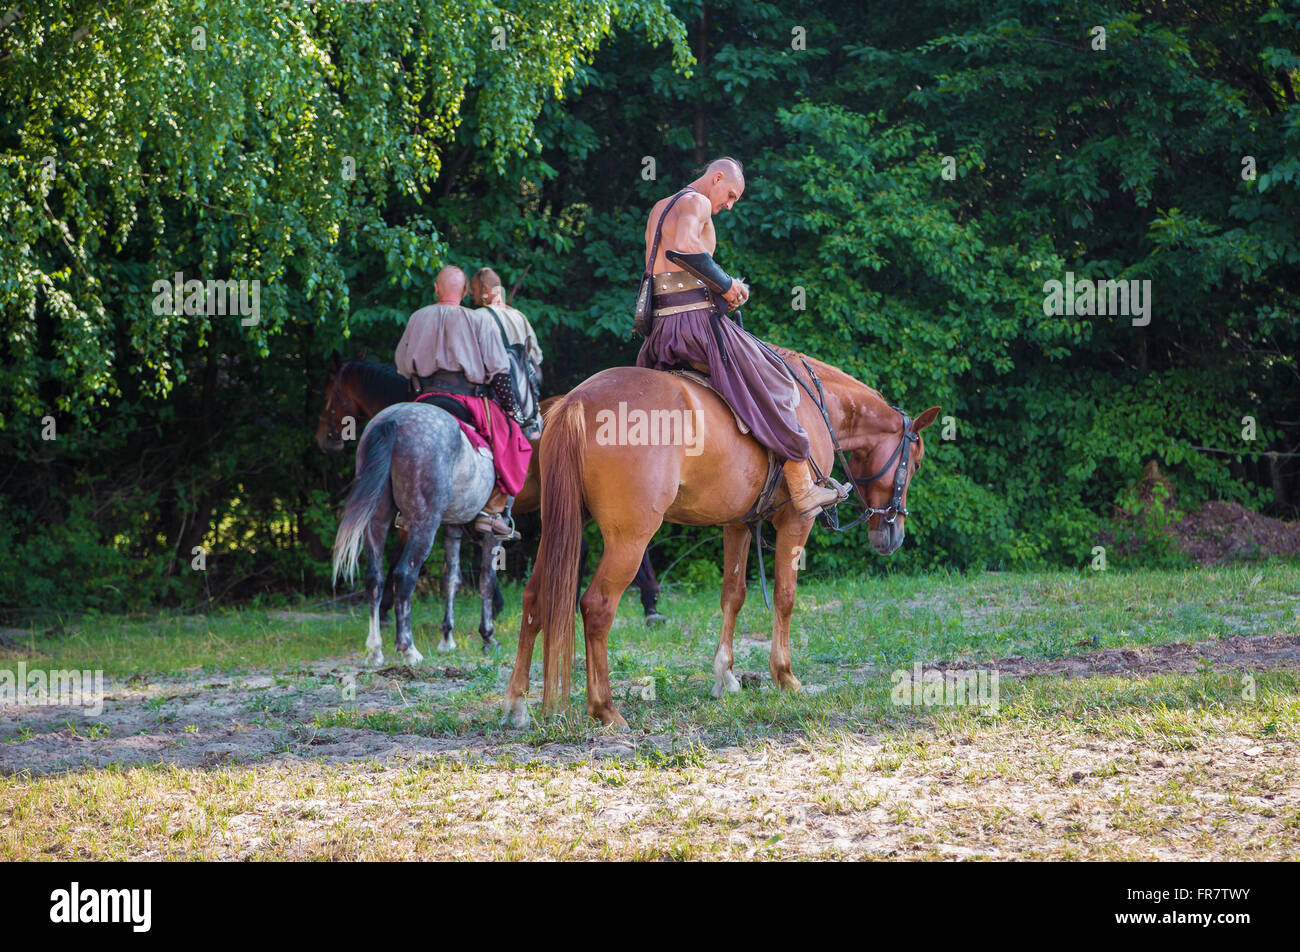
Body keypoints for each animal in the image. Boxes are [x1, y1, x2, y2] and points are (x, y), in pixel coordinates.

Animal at [332, 400, 499, 660]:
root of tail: (393, 418)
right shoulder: (493, 529)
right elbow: (486, 580)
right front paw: (488, 636)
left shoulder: (452, 527)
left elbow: (452, 579)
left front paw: (447, 638)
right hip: (425, 523)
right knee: (404, 575)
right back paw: (408, 647)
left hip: (377, 518)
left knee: (375, 578)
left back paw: (375, 649)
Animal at [501, 351, 941, 728]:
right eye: (916, 464)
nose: (892, 535)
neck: (818, 405)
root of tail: (576, 401)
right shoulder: (796, 522)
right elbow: (785, 596)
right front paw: (785, 676)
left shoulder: (738, 524)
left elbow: (733, 595)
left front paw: (725, 676)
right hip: (630, 540)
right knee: (596, 607)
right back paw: (605, 708)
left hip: (561, 531)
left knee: (535, 599)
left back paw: (517, 703)